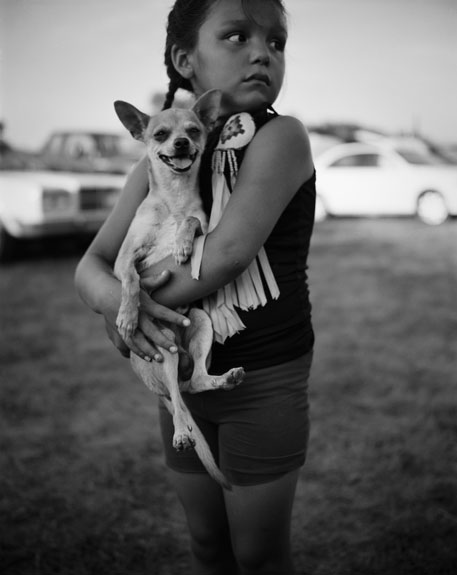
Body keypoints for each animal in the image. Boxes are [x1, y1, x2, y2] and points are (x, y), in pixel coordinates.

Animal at [112, 91, 244, 490]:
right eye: (160, 134)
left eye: (194, 130)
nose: (182, 143)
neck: (173, 198)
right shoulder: (123, 259)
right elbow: (133, 281)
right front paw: (128, 315)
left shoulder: (203, 224)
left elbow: (191, 220)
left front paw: (184, 244)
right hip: (163, 351)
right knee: (179, 399)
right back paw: (182, 433)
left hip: (199, 325)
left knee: (194, 385)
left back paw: (224, 380)